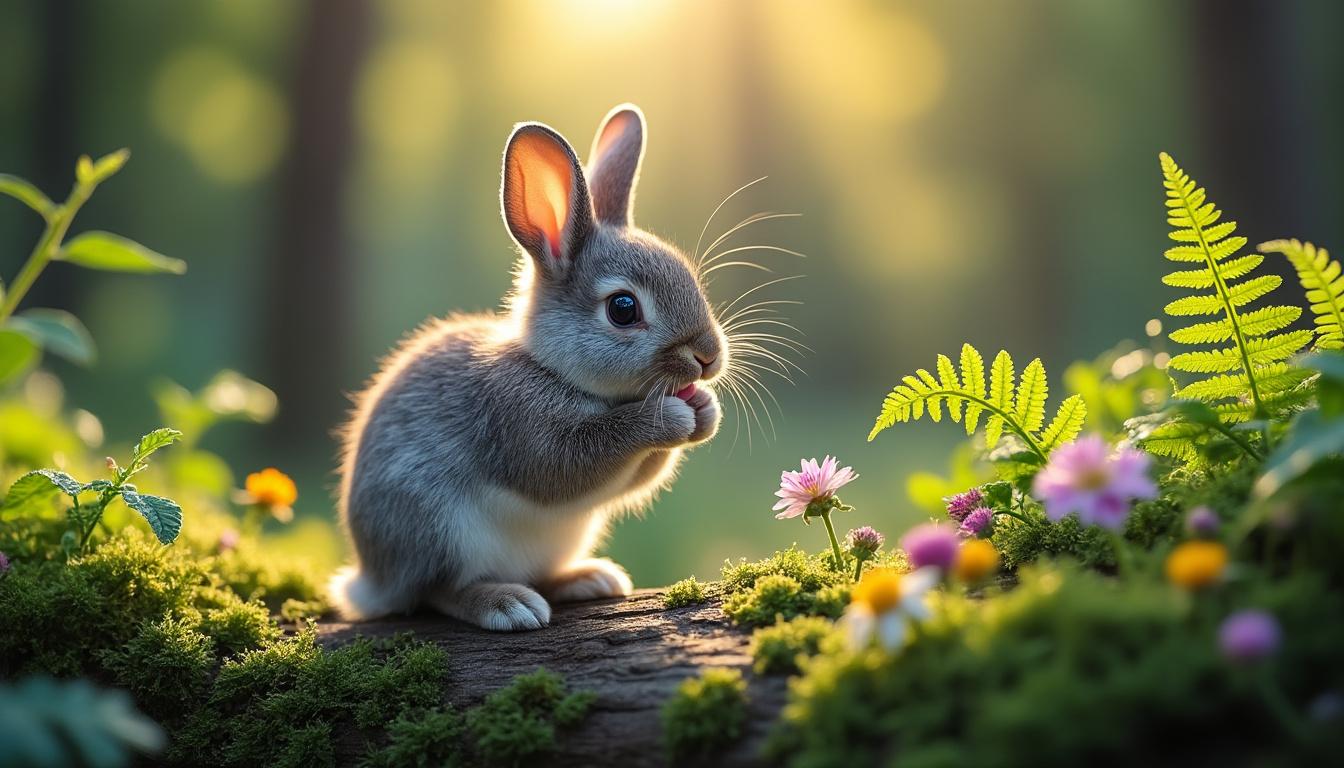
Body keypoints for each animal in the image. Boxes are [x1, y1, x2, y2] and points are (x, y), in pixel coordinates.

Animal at [329, 104, 726, 631]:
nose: (708, 356)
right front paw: (674, 417)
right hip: (436, 526)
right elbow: (570, 463)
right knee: (436, 591)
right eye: (623, 308)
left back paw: (589, 579)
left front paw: (706, 410)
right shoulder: (520, 426)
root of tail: (369, 581)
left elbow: (640, 474)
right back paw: (505, 604)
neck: (552, 368)